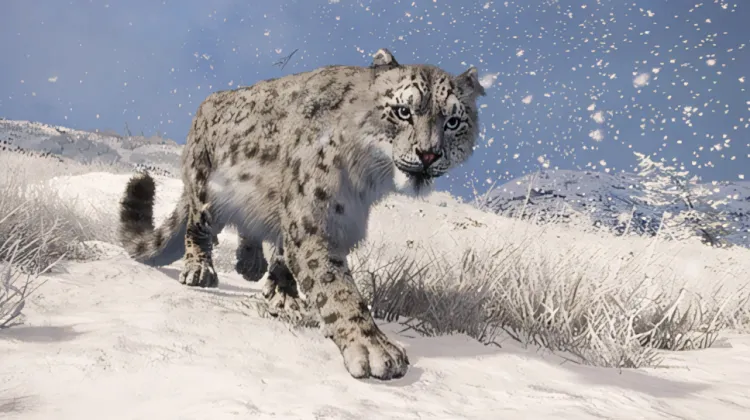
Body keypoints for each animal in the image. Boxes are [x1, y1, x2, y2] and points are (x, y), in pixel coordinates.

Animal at [118, 48, 486, 380]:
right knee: (198, 227)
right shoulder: (313, 221)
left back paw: (252, 264)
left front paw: (284, 295)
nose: (428, 154)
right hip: (205, 186)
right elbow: (338, 288)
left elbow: (287, 258)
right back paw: (201, 269)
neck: (369, 180)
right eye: (403, 111)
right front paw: (373, 349)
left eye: (453, 121)